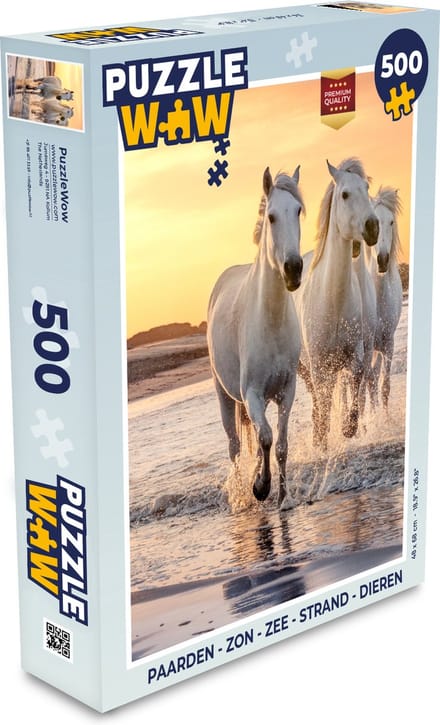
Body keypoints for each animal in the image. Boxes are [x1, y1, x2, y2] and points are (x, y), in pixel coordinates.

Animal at [207, 166, 304, 510]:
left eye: (298, 211)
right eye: (272, 216)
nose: (293, 269)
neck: (270, 320)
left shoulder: (287, 390)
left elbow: (282, 444)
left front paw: (284, 498)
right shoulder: (252, 395)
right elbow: (265, 437)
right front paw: (261, 487)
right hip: (224, 395)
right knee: (234, 446)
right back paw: (241, 494)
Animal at [295, 158, 379, 458]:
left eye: (366, 187)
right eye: (344, 194)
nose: (373, 227)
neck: (332, 301)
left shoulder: (354, 356)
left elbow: (355, 388)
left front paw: (348, 429)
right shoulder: (320, 367)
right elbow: (323, 405)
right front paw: (322, 442)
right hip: (305, 369)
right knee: (318, 402)